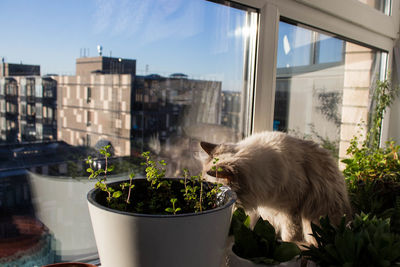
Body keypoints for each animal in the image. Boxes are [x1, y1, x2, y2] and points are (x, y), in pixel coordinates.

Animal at [200, 131, 350, 246]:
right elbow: (254, 227)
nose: (206, 201)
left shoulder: (290, 209)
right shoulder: (263, 211)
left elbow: (289, 236)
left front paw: (289, 244)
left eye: (213, 191)